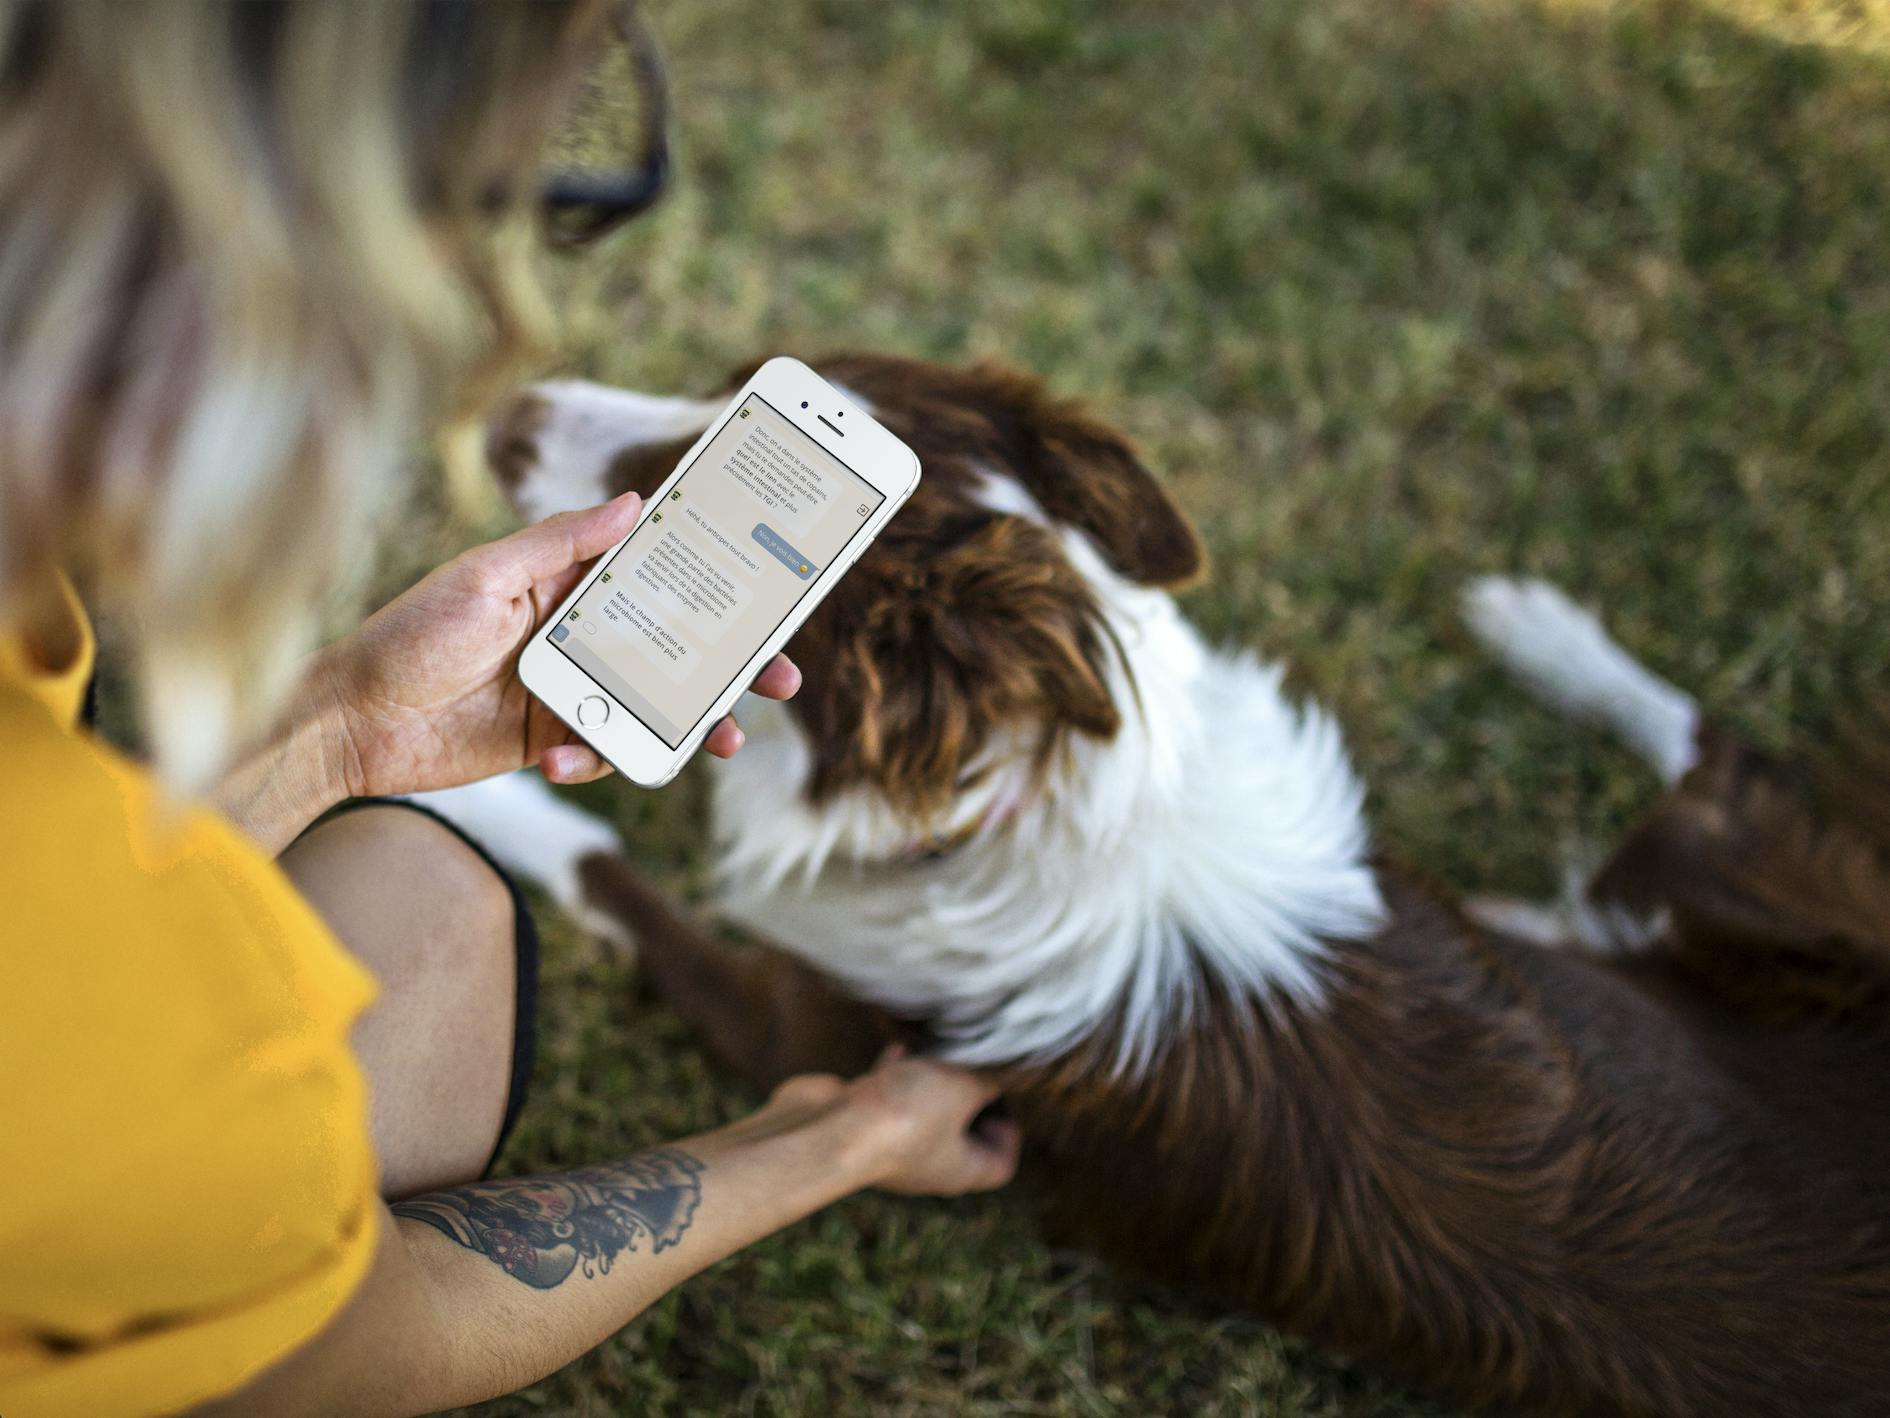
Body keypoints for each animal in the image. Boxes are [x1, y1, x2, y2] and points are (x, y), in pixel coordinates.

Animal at [421, 357, 1890, 1418]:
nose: (507, 408)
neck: (1023, 806)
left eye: (668, 461)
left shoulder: (790, 1031)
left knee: (1725, 764)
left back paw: (1549, 637)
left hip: (1720, 874)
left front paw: (470, 787)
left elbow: (604, 865)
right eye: (729, 381)